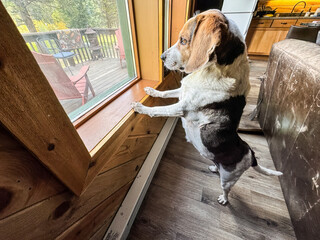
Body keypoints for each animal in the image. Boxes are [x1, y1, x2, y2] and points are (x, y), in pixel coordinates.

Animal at [131, 9, 282, 204]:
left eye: (183, 40)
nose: (162, 57)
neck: (215, 70)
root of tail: (250, 154)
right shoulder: (182, 92)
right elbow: (165, 93)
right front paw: (152, 91)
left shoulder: (181, 108)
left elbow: (158, 110)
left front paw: (141, 108)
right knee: (218, 167)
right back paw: (214, 168)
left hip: (228, 179)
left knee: (227, 189)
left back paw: (224, 199)